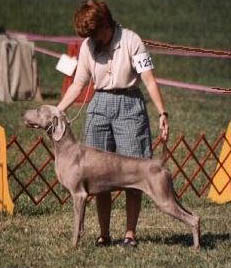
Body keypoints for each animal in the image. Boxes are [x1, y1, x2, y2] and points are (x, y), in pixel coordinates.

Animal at [23, 104, 200, 249]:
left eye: (38, 110)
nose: (23, 112)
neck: (66, 148)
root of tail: (160, 162)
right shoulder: (83, 197)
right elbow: (81, 224)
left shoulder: (79, 194)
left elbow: (75, 224)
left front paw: (73, 247)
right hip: (171, 196)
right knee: (196, 216)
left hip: (163, 200)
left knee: (191, 219)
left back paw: (196, 248)